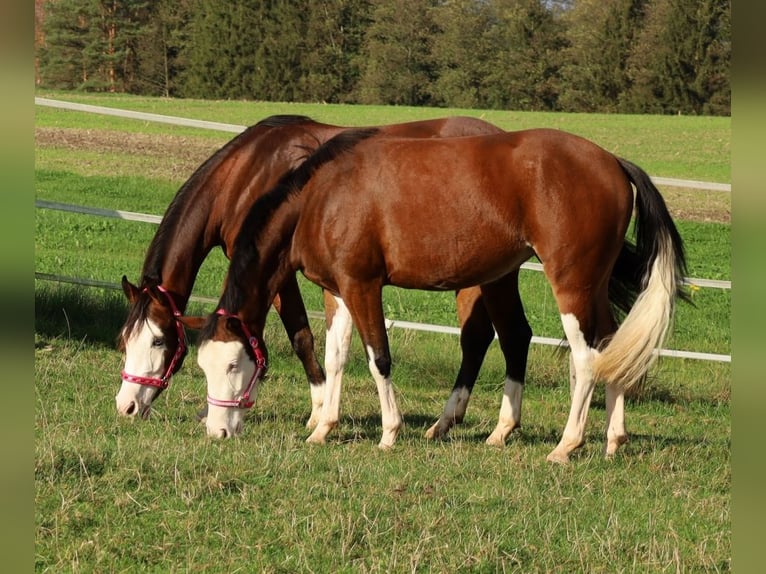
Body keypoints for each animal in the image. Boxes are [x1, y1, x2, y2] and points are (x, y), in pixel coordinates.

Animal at [117, 112, 536, 440]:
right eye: (124, 341)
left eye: (157, 341)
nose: (126, 407)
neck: (249, 171)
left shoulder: (276, 271)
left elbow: (300, 336)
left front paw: (317, 410)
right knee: (480, 338)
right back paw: (447, 422)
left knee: (498, 336)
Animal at [190, 127, 688, 464]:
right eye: (202, 367)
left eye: (233, 364)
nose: (216, 432)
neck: (323, 197)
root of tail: (613, 162)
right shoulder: (340, 290)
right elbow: (336, 359)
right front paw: (323, 429)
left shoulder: (363, 285)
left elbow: (378, 358)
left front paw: (389, 433)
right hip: (592, 287)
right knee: (610, 348)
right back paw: (608, 439)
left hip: (571, 284)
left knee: (586, 359)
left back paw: (566, 445)